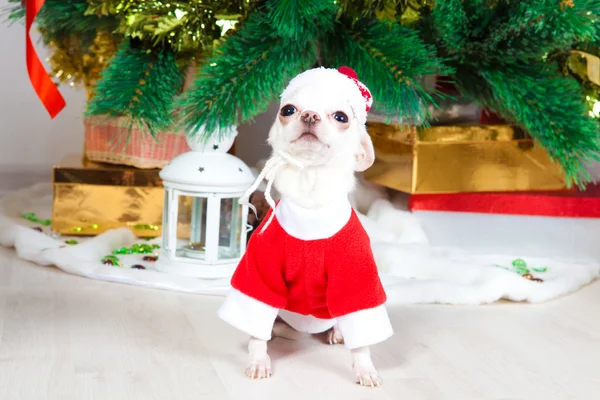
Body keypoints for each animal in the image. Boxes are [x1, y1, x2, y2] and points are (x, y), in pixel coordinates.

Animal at [218, 67, 392, 386]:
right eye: (288, 110)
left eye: (341, 117)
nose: (310, 115)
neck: (311, 194)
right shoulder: (260, 274)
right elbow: (256, 322)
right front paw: (258, 359)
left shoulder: (357, 279)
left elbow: (361, 333)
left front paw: (364, 368)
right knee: (271, 327)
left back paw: (336, 332)